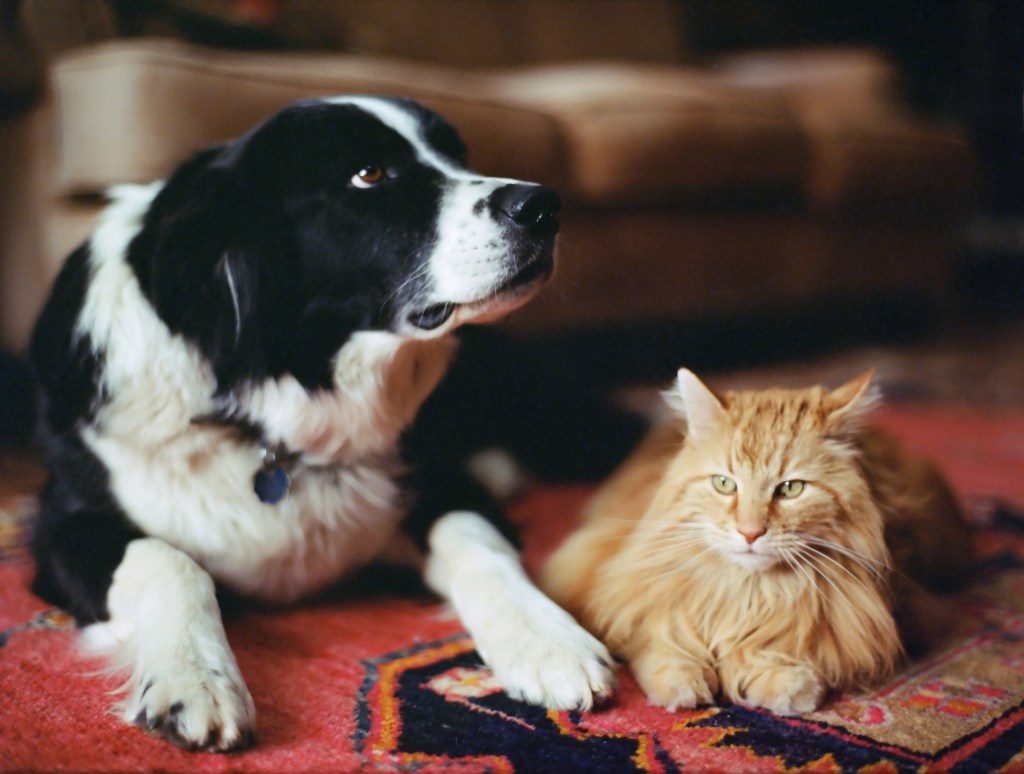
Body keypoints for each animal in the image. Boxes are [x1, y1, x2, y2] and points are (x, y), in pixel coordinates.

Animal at [32, 95, 614, 749]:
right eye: (369, 174)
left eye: (457, 155)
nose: (544, 205)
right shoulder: (63, 524)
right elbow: (167, 560)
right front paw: (194, 678)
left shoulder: (441, 480)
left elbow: (477, 541)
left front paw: (547, 639)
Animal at [540, 366, 970, 712]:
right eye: (724, 484)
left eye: (791, 489)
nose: (750, 532)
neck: (746, 591)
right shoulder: (621, 587)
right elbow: (660, 642)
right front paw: (685, 679)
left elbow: (779, 657)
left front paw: (776, 681)